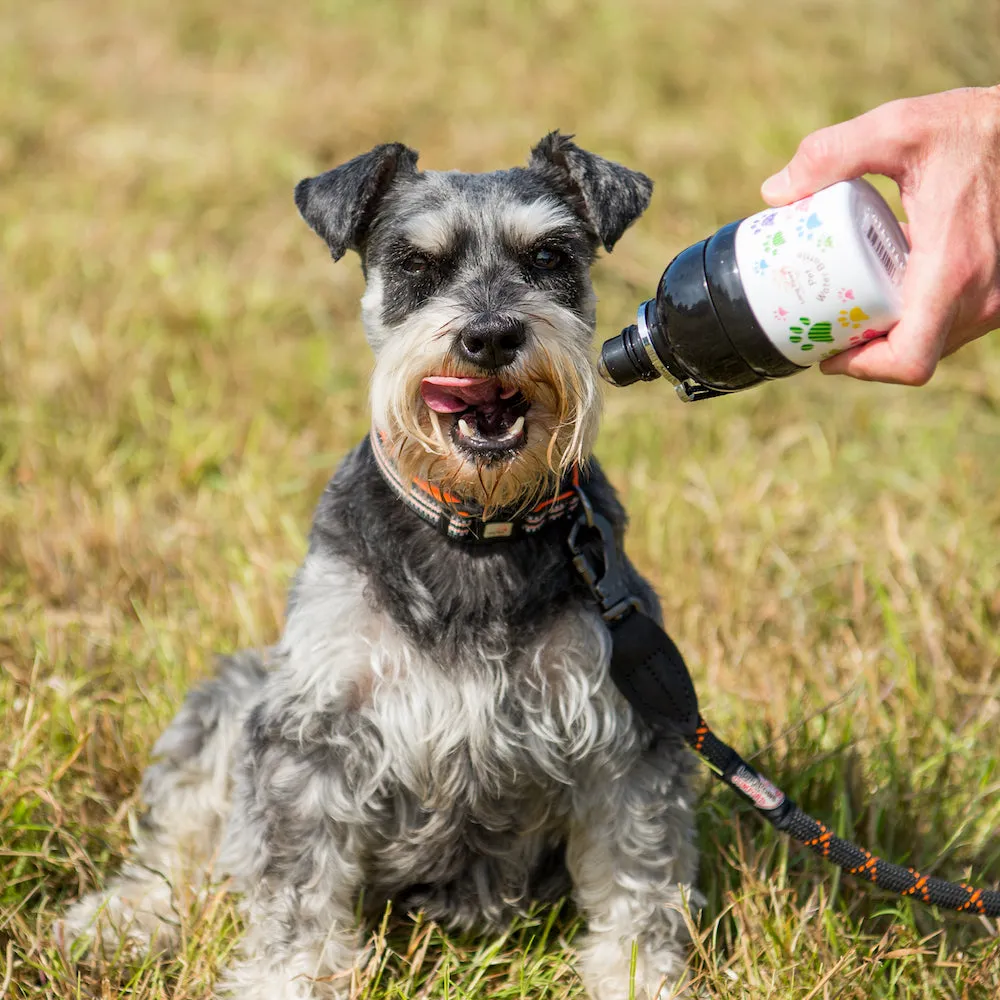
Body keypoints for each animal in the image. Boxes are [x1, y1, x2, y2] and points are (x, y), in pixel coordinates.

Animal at [62, 135, 700, 1000]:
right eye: (413, 263)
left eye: (549, 256)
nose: (491, 337)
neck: (474, 530)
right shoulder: (310, 732)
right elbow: (296, 893)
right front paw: (288, 981)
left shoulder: (625, 740)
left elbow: (639, 885)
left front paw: (639, 980)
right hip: (232, 696)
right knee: (182, 839)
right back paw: (122, 917)